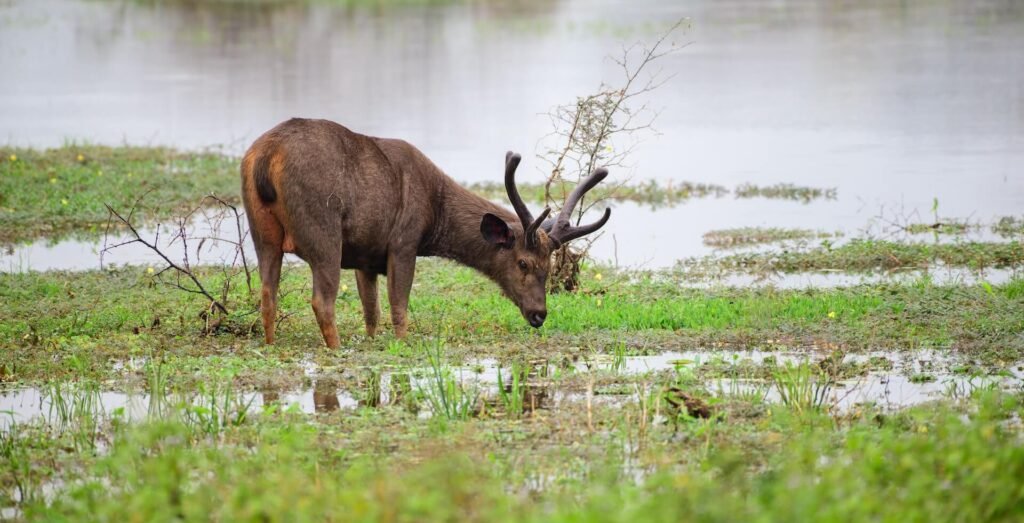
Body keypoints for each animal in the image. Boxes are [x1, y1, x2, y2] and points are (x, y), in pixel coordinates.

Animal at [240, 118, 611, 348]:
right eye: (523, 262)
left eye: (549, 267)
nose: (539, 314)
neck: (436, 215)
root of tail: (265, 157)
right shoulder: (404, 242)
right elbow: (398, 308)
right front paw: (401, 345)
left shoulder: (365, 256)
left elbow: (371, 312)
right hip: (323, 229)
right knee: (321, 300)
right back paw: (336, 348)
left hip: (261, 231)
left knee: (267, 294)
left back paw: (271, 344)